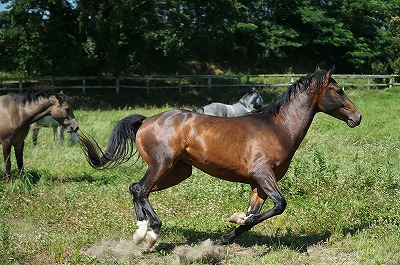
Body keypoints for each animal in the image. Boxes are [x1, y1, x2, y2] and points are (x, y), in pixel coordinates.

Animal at [79, 66, 360, 248]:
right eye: (339, 91)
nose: (357, 117)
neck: (277, 127)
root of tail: (147, 120)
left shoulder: (258, 185)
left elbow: (253, 217)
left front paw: (227, 234)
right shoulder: (263, 175)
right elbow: (279, 205)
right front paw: (234, 224)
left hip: (179, 171)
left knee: (135, 188)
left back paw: (143, 232)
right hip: (162, 165)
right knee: (140, 190)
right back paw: (148, 234)